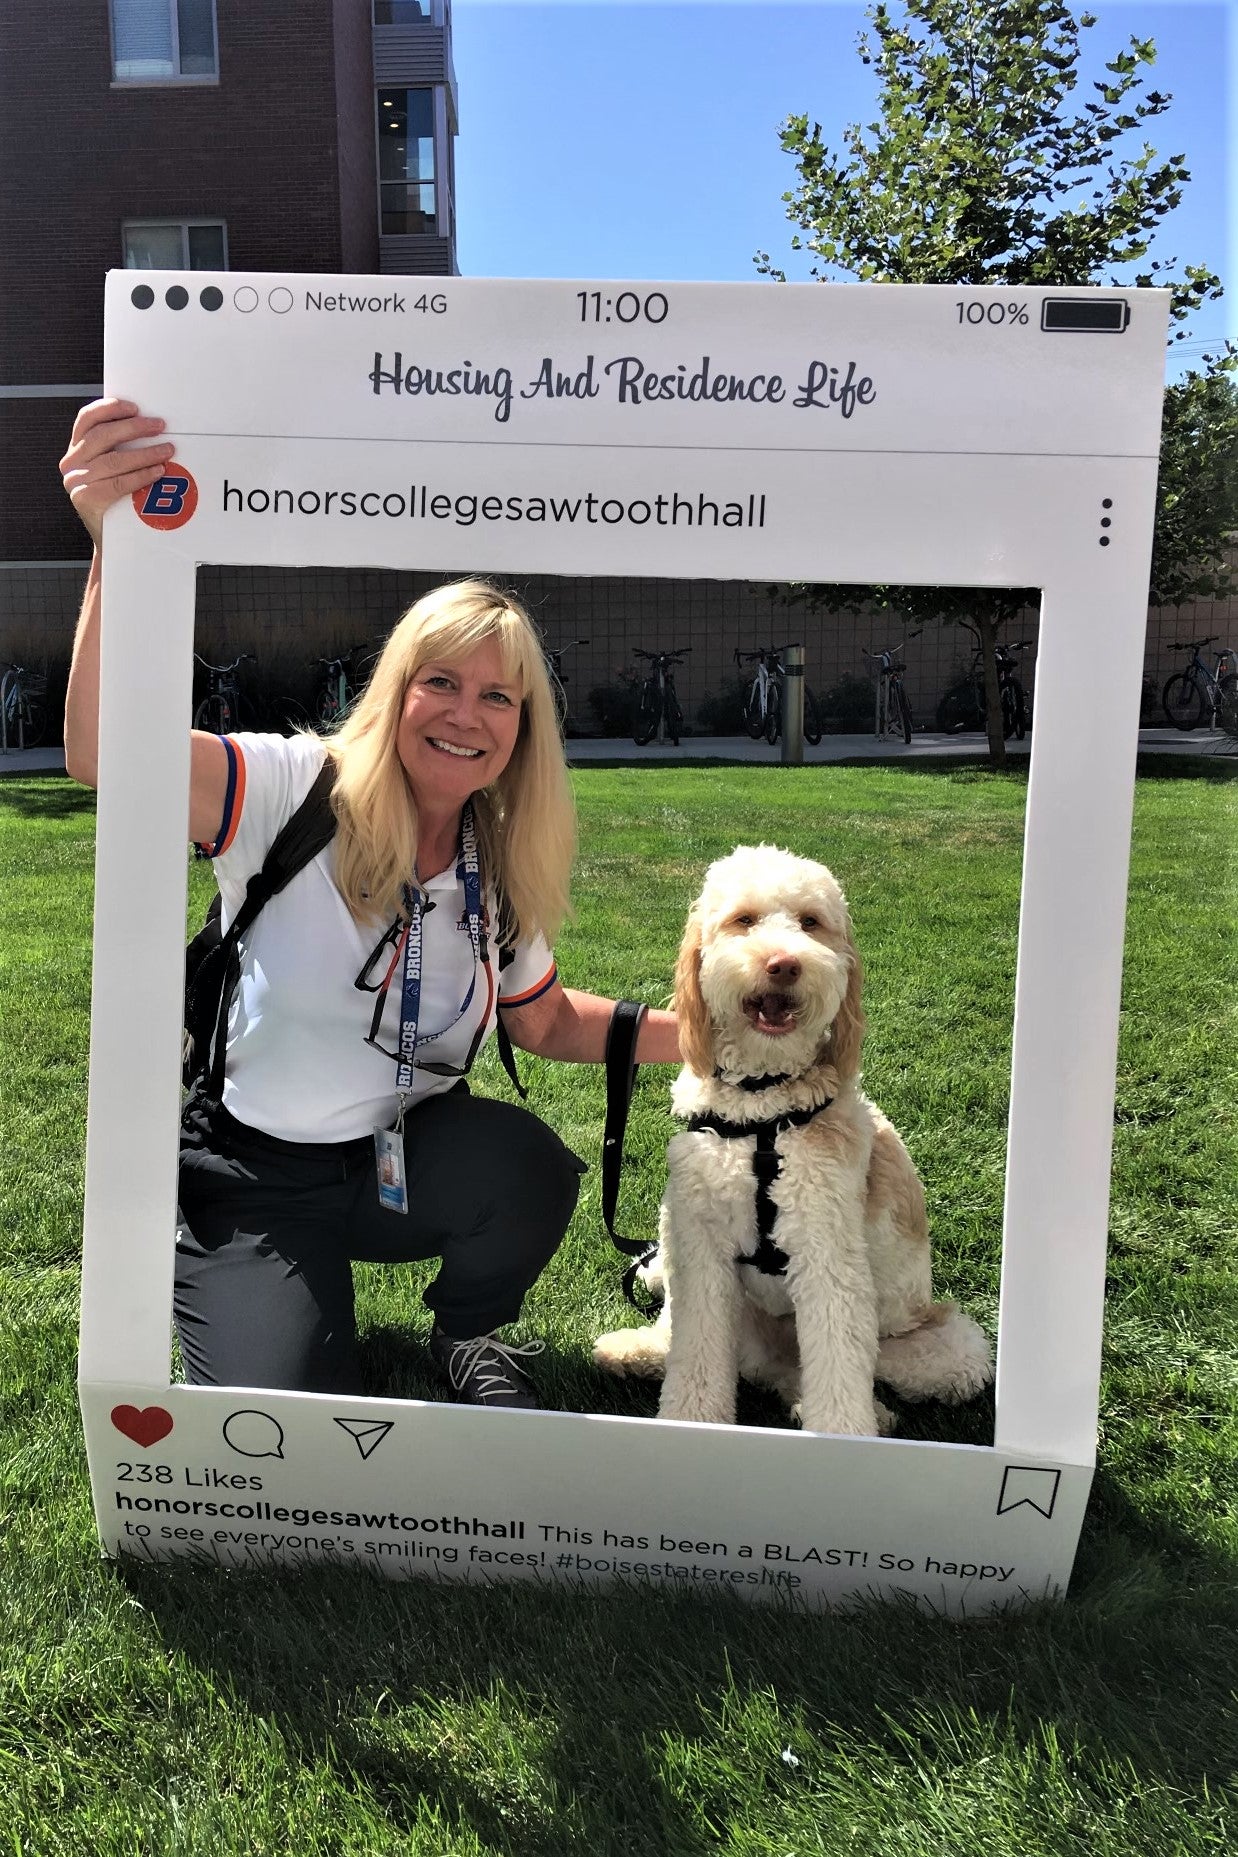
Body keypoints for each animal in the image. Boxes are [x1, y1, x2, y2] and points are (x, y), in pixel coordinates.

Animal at [593, 846, 994, 1433]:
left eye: (810, 922)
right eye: (744, 920)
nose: (784, 964)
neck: (762, 1104)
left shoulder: (826, 1254)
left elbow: (838, 1365)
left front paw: (843, 1436)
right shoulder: (700, 1246)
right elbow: (695, 1351)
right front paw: (689, 1420)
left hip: (947, 1347)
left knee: (838, 1371)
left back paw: (860, 1412)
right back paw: (637, 1352)